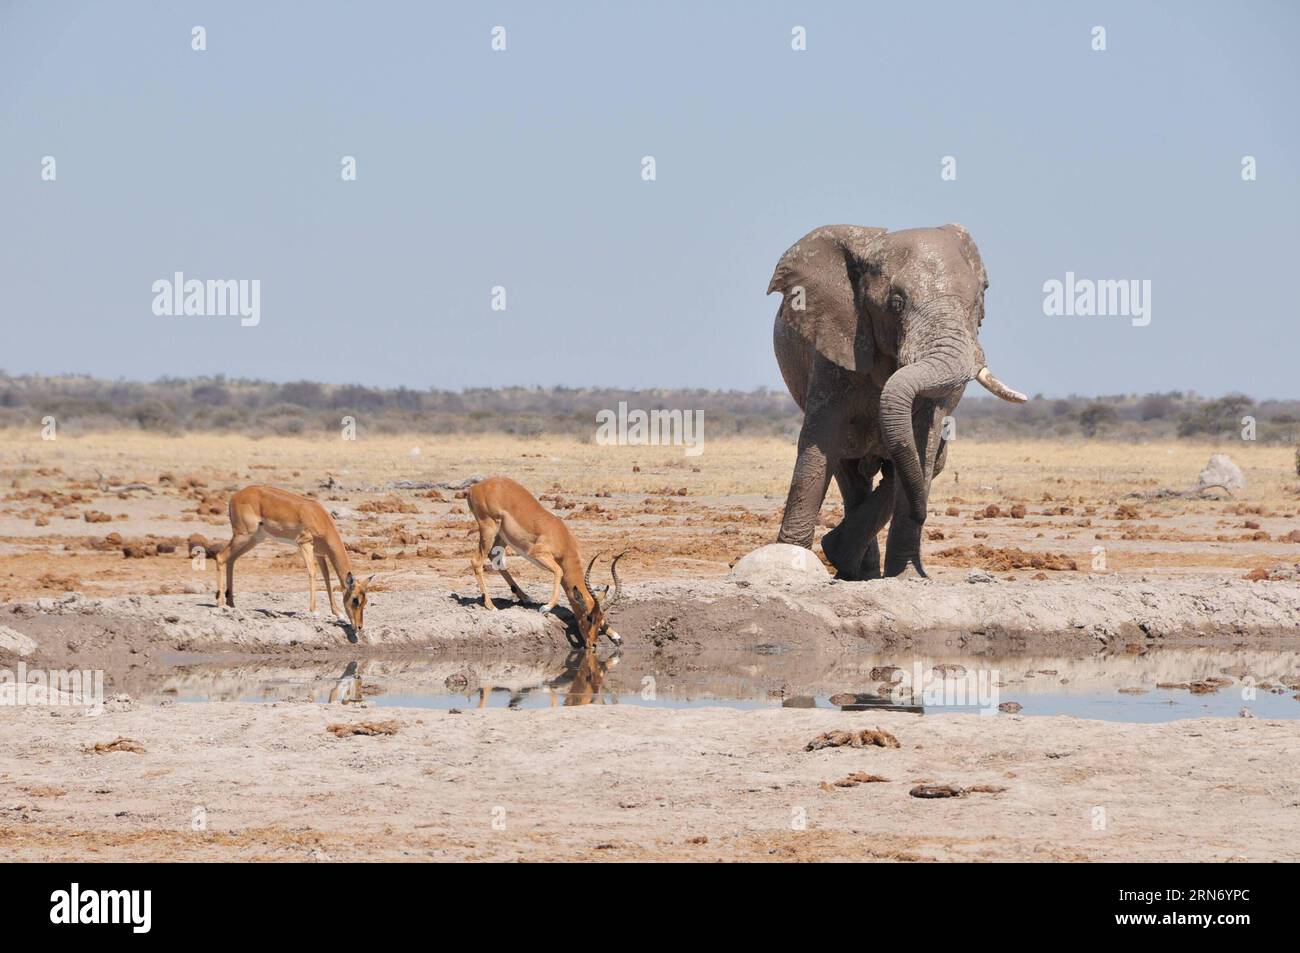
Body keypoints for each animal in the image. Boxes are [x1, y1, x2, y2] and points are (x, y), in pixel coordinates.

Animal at [210, 486, 369, 634]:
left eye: (365, 601)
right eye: (355, 599)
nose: (359, 626)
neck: (319, 517)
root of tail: (235, 496)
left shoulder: (320, 554)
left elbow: (326, 578)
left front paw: (337, 613)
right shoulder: (304, 543)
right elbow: (312, 572)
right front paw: (314, 611)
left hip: (254, 539)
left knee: (231, 560)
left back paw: (231, 604)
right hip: (243, 535)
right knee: (221, 556)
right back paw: (221, 604)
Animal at [470, 475, 626, 647]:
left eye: (600, 618)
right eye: (588, 617)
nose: (592, 644)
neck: (563, 539)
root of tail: (475, 487)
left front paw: (616, 635)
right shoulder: (537, 554)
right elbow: (559, 571)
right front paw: (545, 608)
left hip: (502, 537)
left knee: (495, 559)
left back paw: (526, 597)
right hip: (489, 529)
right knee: (476, 561)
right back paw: (491, 606)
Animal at [764, 223, 1029, 579]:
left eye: (978, 300)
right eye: (896, 303)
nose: (924, 515)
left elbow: (921, 444)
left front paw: (906, 576)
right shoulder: (834, 343)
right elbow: (821, 440)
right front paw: (791, 559)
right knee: (851, 470)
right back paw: (853, 568)